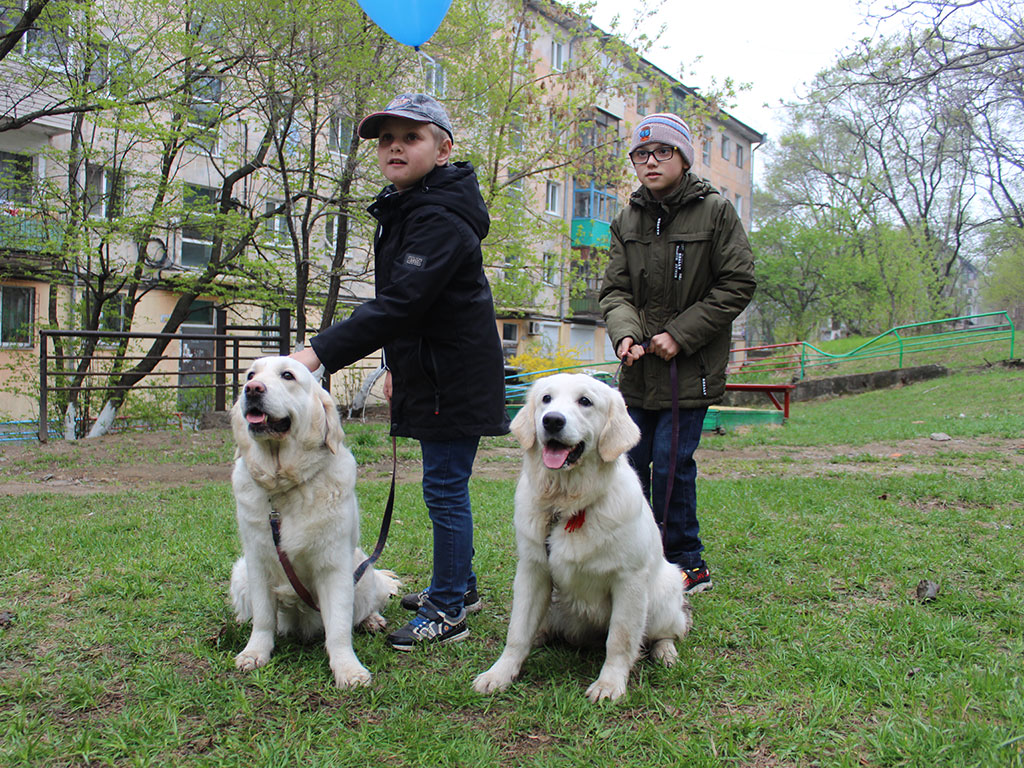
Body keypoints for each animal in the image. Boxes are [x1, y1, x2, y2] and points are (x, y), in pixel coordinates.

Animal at [228, 358, 399, 688]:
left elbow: (339, 628)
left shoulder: (334, 567)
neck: (284, 487)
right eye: (250, 374)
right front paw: (254, 652)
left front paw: (347, 669)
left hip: (361, 569)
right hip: (240, 570)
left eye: (287, 375)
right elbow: (264, 617)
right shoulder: (257, 561)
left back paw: (372, 619)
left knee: (365, 606)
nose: (252, 389)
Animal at [475, 372, 692, 704]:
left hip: (664, 592)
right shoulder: (532, 570)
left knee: (667, 631)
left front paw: (609, 684)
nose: (552, 420)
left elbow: (620, 639)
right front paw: (500, 673)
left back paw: (665, 652)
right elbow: (517, 632)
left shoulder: (629, 580)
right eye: (546, 399)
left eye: (585, 401)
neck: (567, 504)